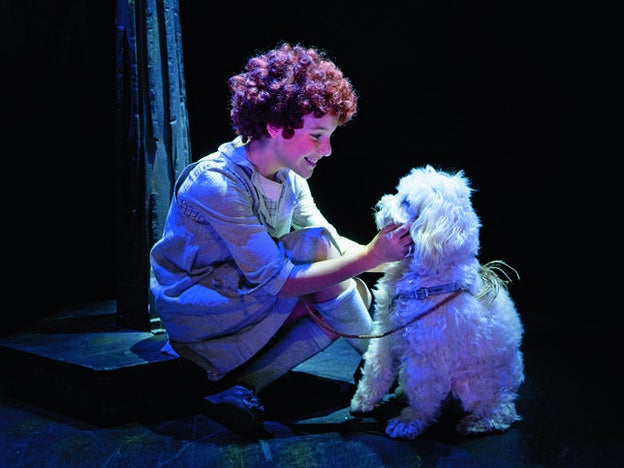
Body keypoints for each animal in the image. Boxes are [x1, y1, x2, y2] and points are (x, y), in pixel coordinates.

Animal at [348, 166, 524, 440]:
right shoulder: (386, 332)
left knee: (502, 411)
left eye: (406, 201)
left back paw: (479, 422)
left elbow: (423, 394)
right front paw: (363, 400)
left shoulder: (427, 356)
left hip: (474, 383)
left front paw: (409, 422)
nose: (378, 205)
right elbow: (376, 368)